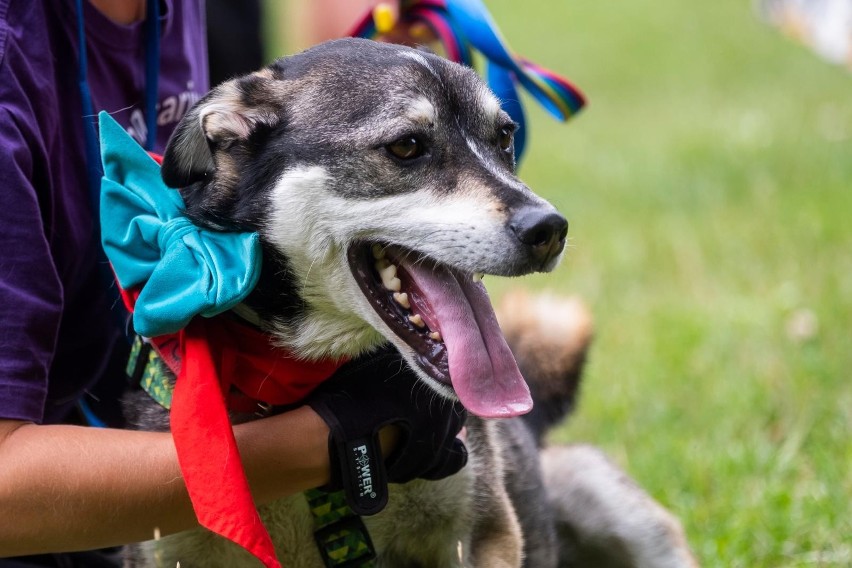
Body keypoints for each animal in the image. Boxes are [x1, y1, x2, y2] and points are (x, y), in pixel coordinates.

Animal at [121, 37, 700, 564]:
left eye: (504, 137)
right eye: (405, 146)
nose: (549, 229)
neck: (309, 386)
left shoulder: (482, 534)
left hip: (605, 499)